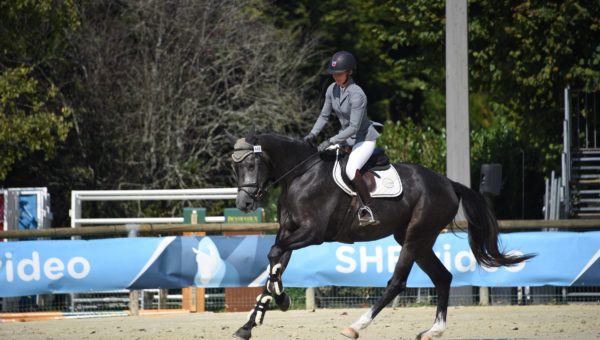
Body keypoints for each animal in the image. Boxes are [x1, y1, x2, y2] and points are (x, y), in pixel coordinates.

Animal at [231, 132, 536, 340]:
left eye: (251, 165)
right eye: (236, 167)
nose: (243, 204)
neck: (302, 176)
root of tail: (449, 183)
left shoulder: (313, 233)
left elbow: (273, 256)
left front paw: (279, 300)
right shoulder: (289, 232)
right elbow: (275, 263)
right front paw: (251, 323)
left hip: (414, 237)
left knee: (397, 283)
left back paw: (356, 326)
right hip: (419, 240)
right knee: (443, 277)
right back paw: (433, 330)